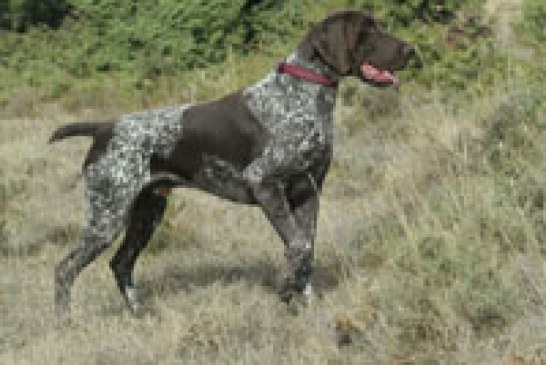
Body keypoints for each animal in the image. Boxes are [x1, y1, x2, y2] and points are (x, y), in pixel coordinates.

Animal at [51, 10, 414, 312]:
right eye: (367, 30)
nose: (411, 50)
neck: (302, 94)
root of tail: (104, 127)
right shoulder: (265, 183)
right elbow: (297, 246)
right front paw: (285, 291)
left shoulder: (308, 192)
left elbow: (307, 250)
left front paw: (307, 303)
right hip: (107, 217)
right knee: (65, 269)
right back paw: (65, 321)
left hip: (146, 212)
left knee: (121, 263)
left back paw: (138, 314)